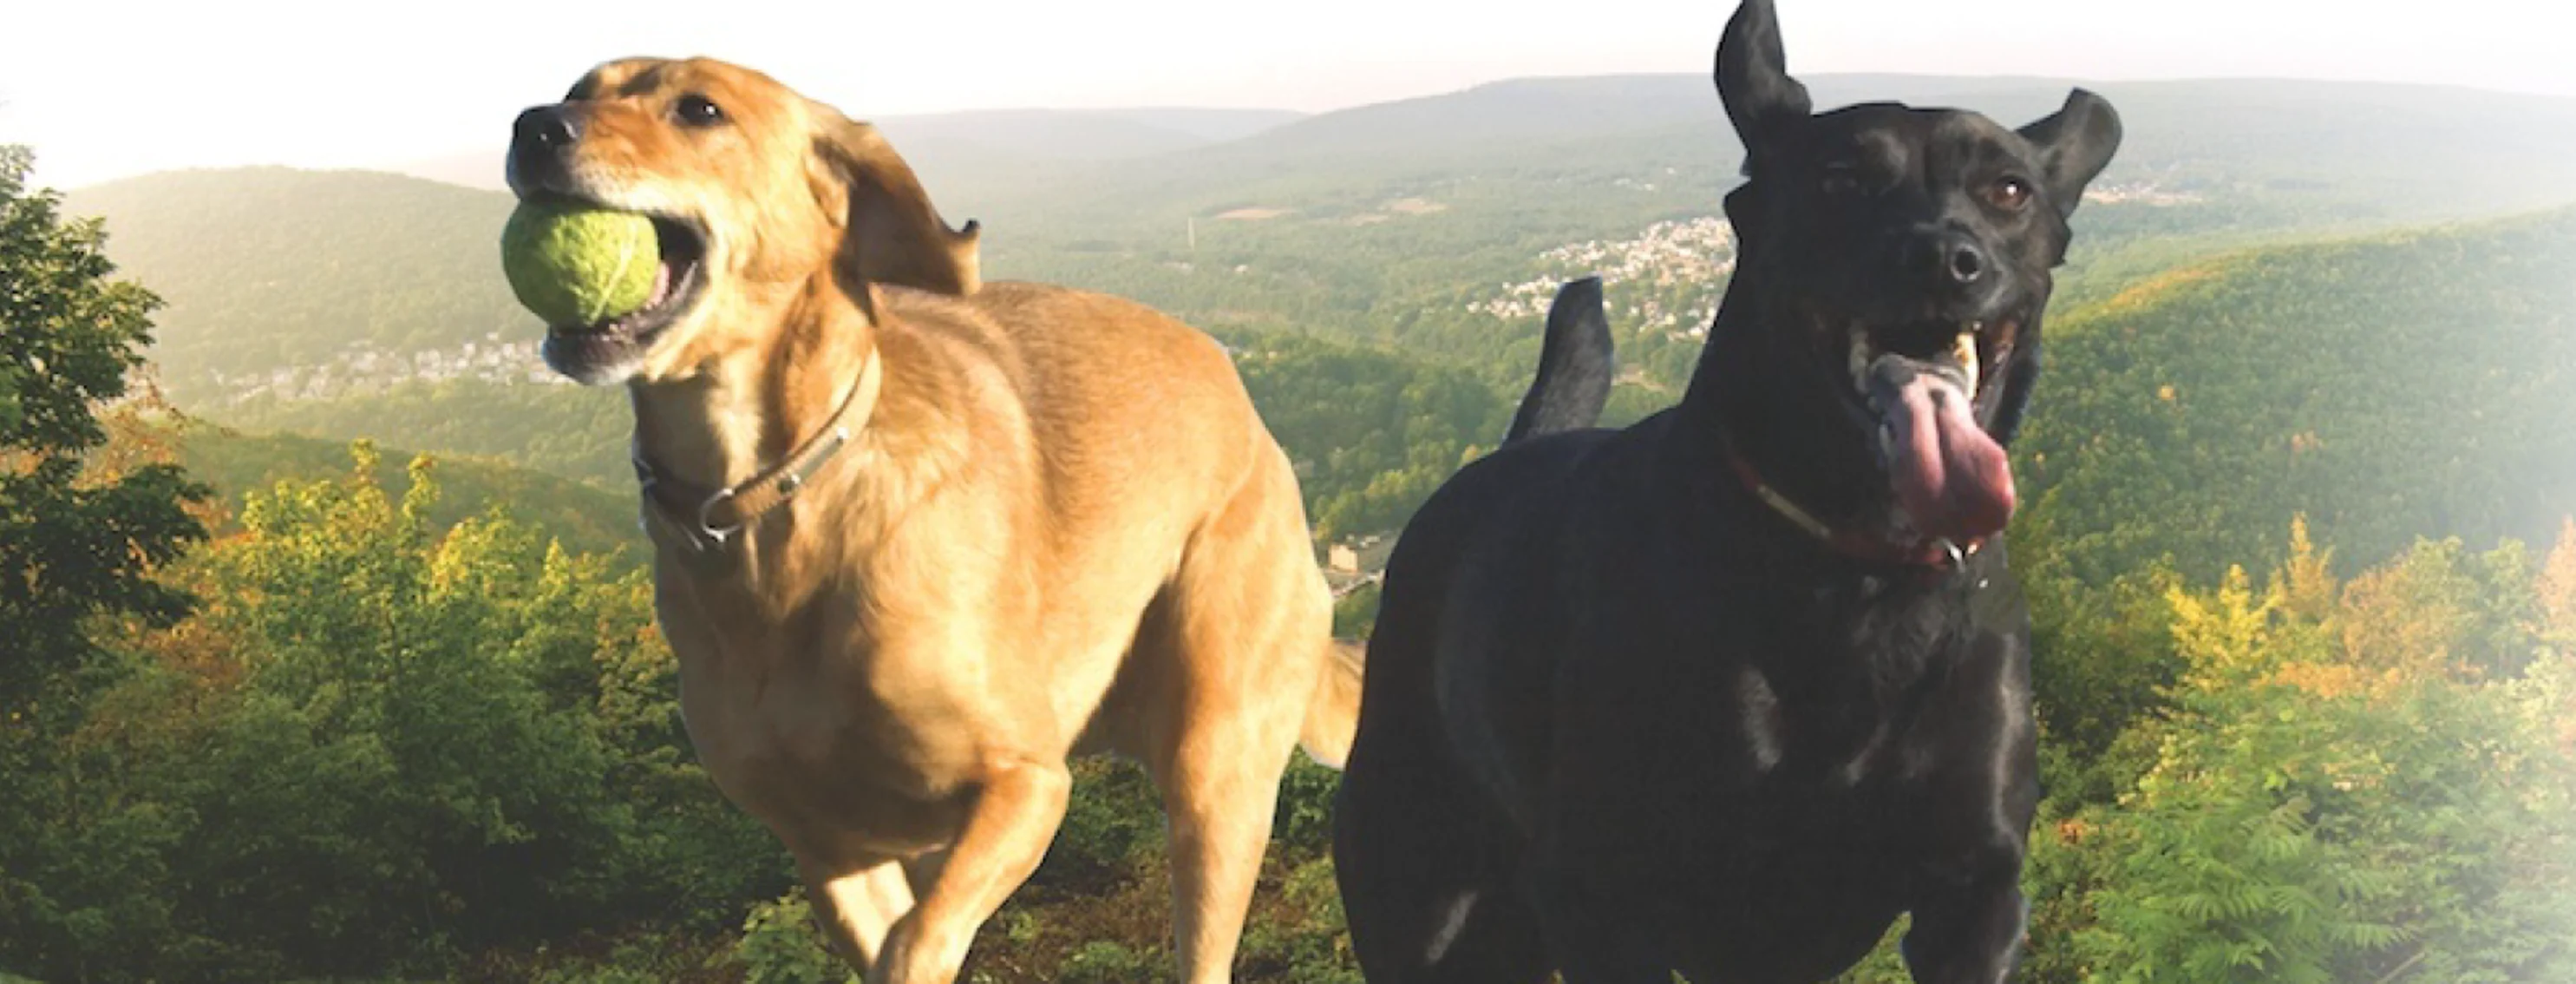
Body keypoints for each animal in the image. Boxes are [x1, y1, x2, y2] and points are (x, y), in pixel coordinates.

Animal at [500, 57, 1370, 979]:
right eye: (580, 88)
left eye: (700, 110)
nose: (535, 126)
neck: (773, 507)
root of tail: (1247, 407)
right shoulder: (833, 851)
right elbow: (894, 935)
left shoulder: (1027, 784)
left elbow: (918, 941)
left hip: (1216, 771)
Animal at [1329, 2, 2112, 984]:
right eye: (1841, 179)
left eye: (2009, 191)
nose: (1945, 257)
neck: (1855, 575)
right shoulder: (1602, 902)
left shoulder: (1973, 897)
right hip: (1420, 908)